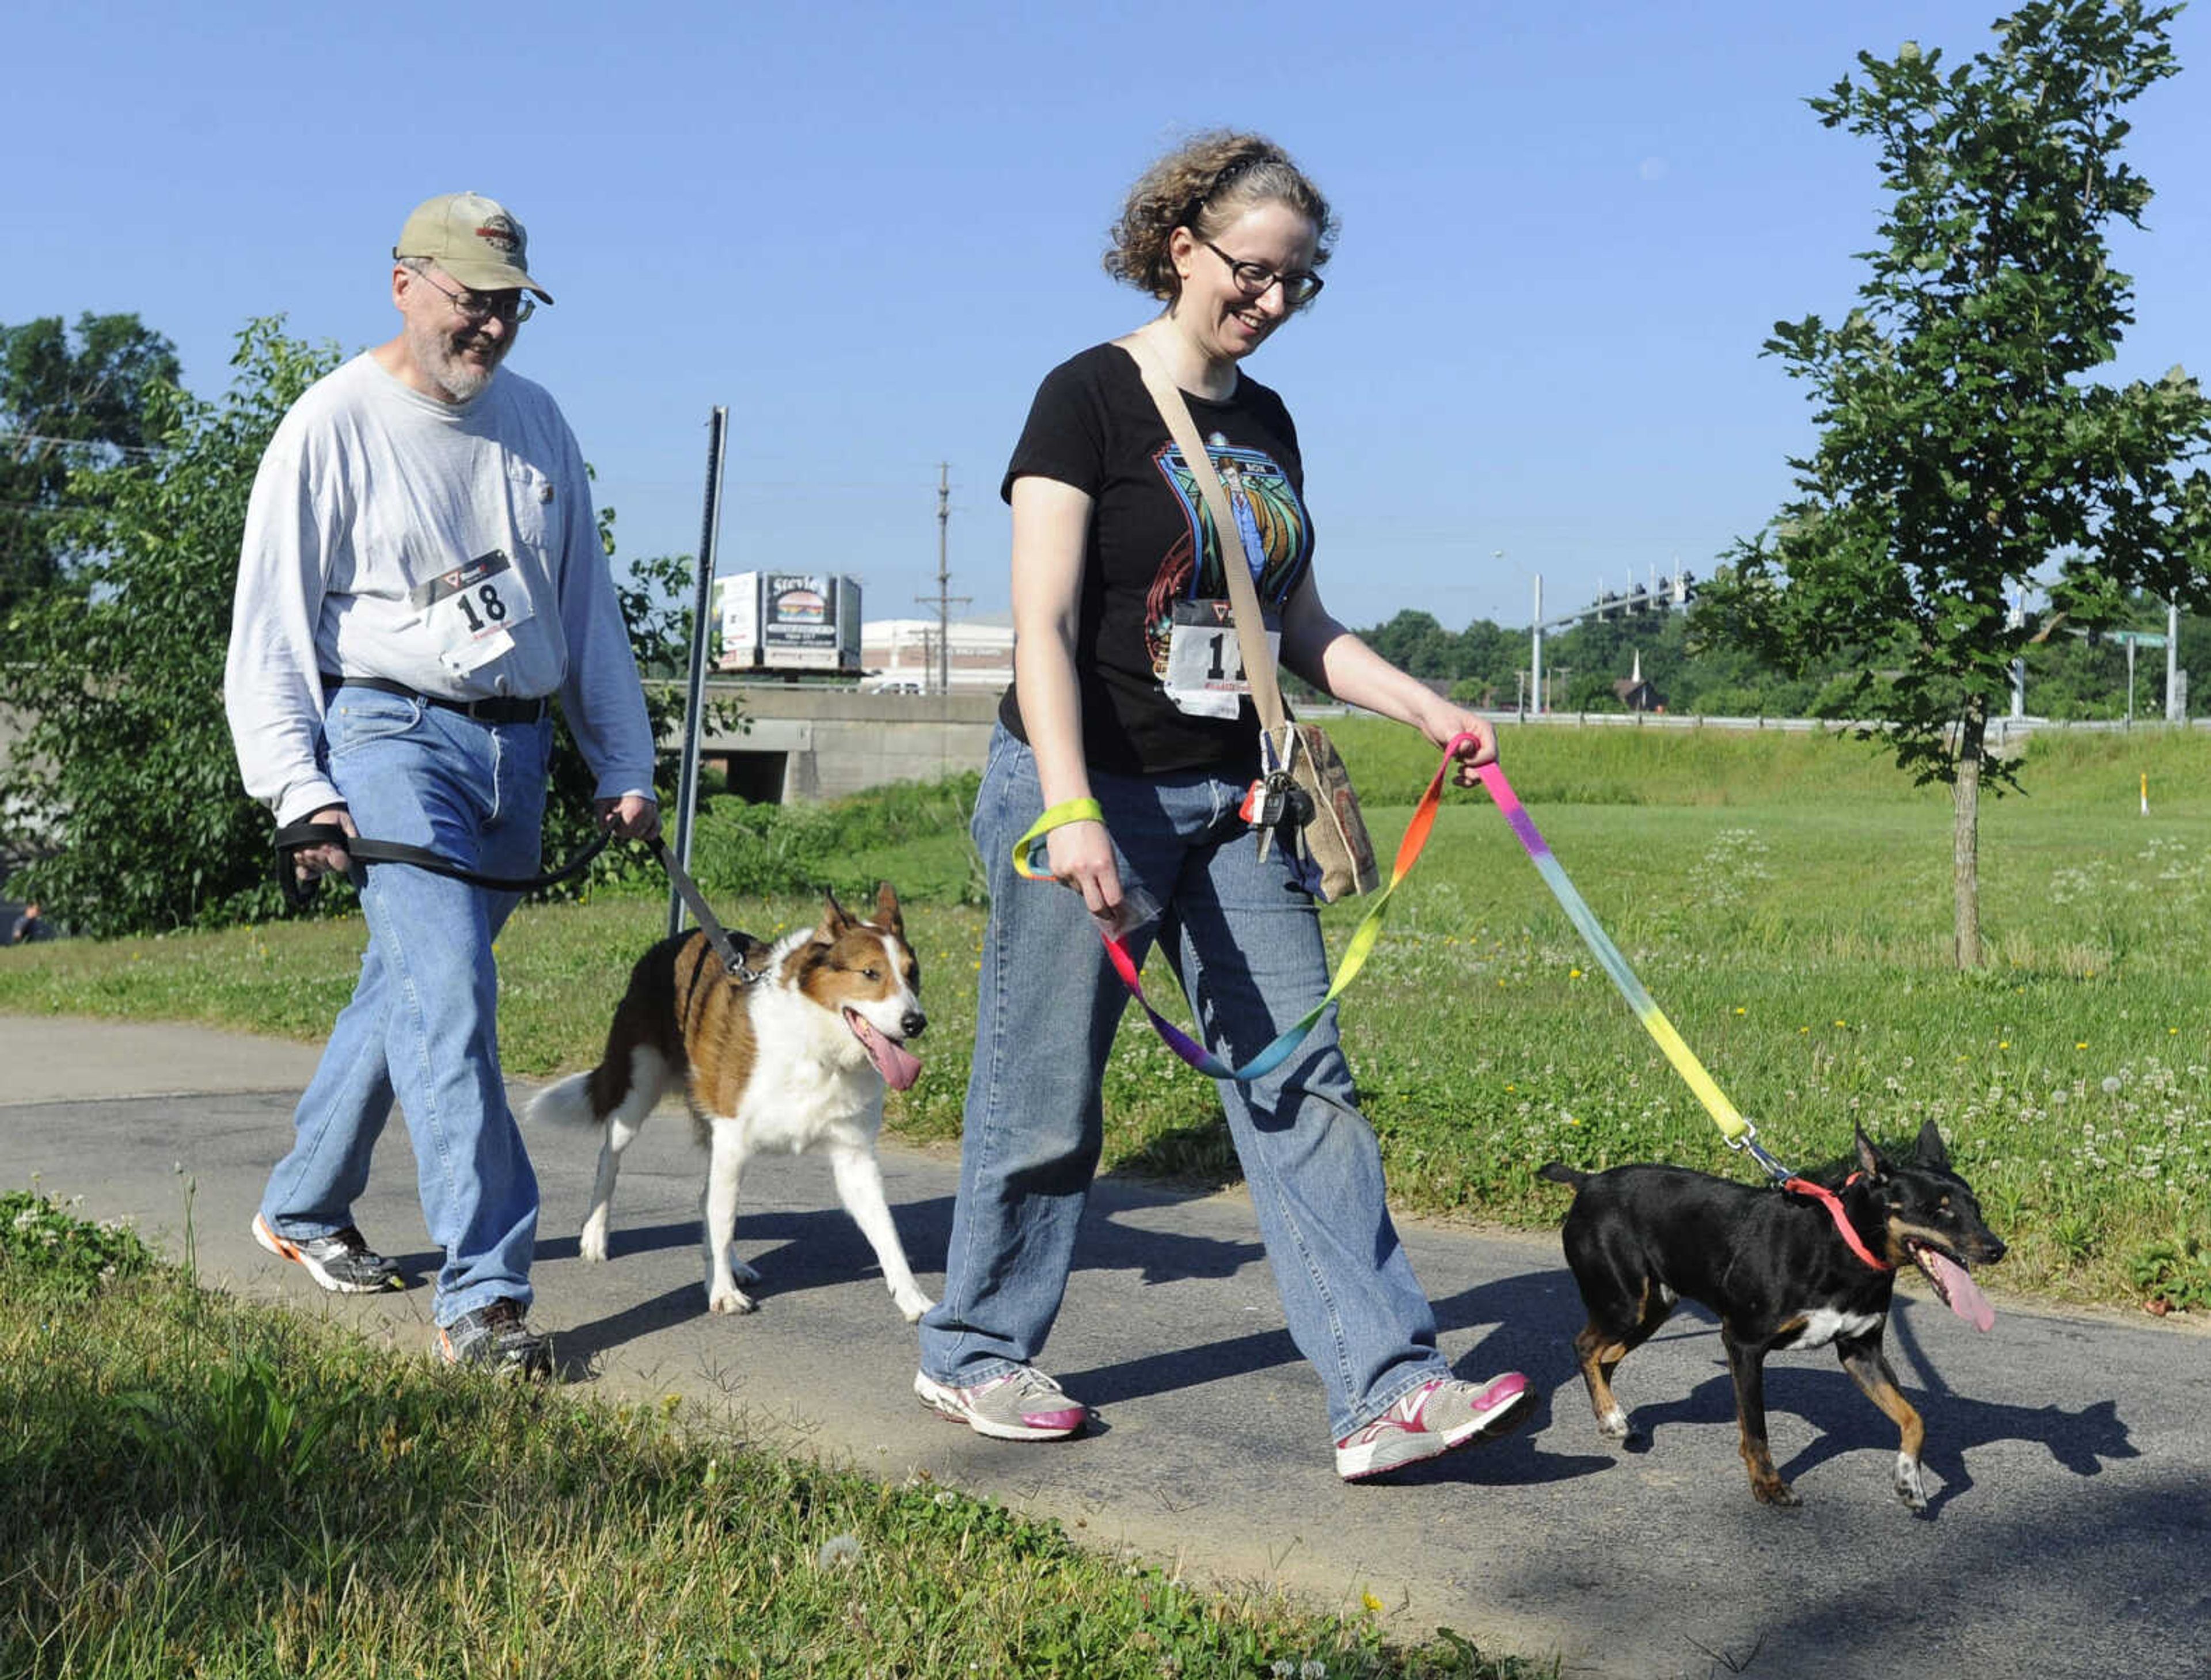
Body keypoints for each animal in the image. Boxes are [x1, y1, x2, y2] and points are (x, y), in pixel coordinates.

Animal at [530, 884, 937, 1335]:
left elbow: (888, 1234)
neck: (816, 1045)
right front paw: (723, 1293)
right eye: (870, 974)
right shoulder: (733, 1141)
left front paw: (914, 1300)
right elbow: (723, 1221)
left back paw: (731, 1264)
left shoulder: (854, 1159)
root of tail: (669, 943)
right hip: (638, 1095)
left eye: (913, 974)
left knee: (707, 1199)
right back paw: (596, 1235)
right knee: (611, 1161)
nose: (916, 1022)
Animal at [1538, 1127, 2007, 1512]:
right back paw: (1611, 1416)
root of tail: (1588, 1182)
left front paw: (1910, 1481)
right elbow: (1756, 1429)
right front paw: (1768, 1486)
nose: (1996, 1249)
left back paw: (1616, 1418)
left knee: (1606, 1357)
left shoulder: (1862, 1353)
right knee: (1585, 1347)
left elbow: (1915, 1419)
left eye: (1977, 1207)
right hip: (1624, 1302)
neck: (1840, 1245)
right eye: (1937, 1210)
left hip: (1653, 1308)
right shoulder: (1743, 1345)